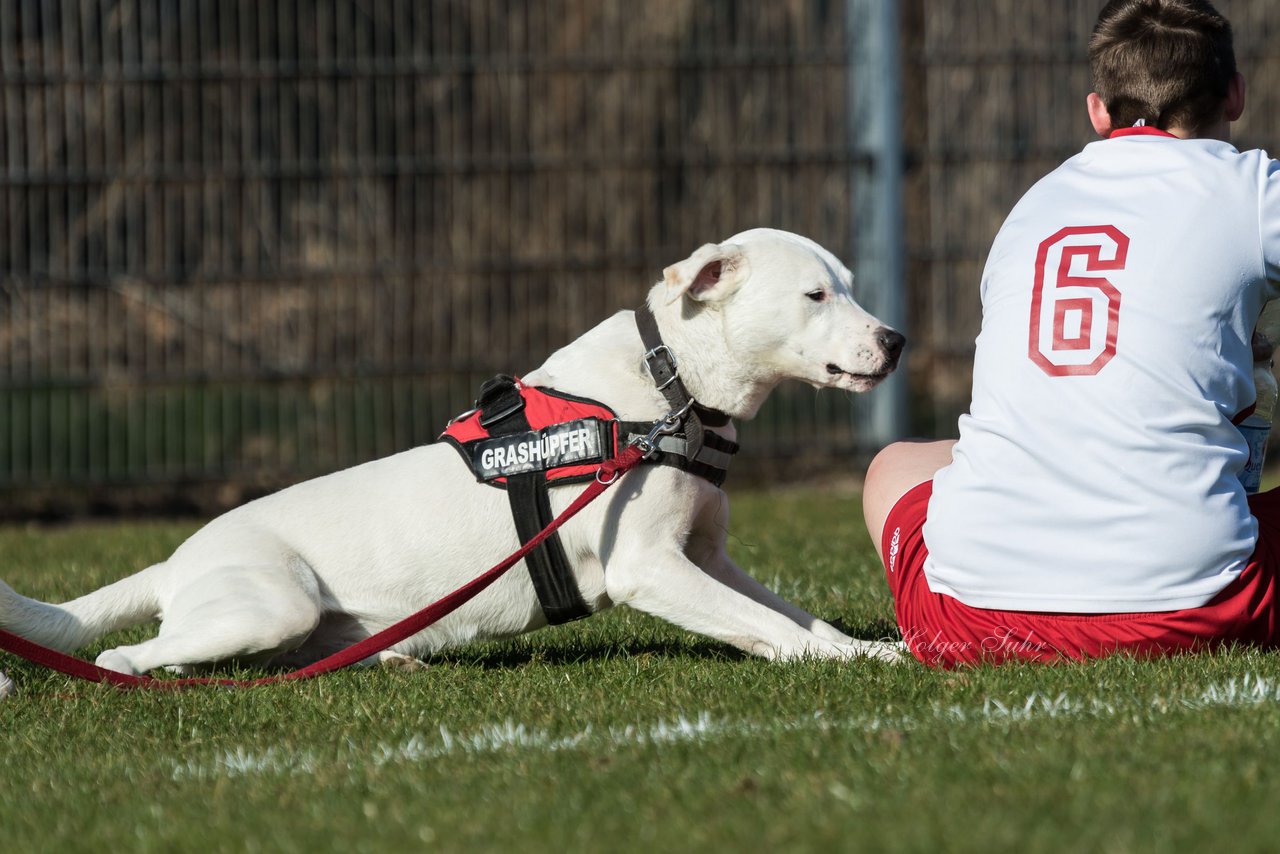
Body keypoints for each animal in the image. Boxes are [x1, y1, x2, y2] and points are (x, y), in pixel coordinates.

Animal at [0, 225, 906, 676]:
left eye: (850, 285)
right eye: (815, 295)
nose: (896, 342)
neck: (673, 382)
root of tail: (176, 560)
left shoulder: (708, 558)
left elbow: (797, 620)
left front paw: (867, 649)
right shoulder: (652, 569)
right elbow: (773, 630)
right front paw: (850, 666)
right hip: (266, 605)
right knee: (127, 653)